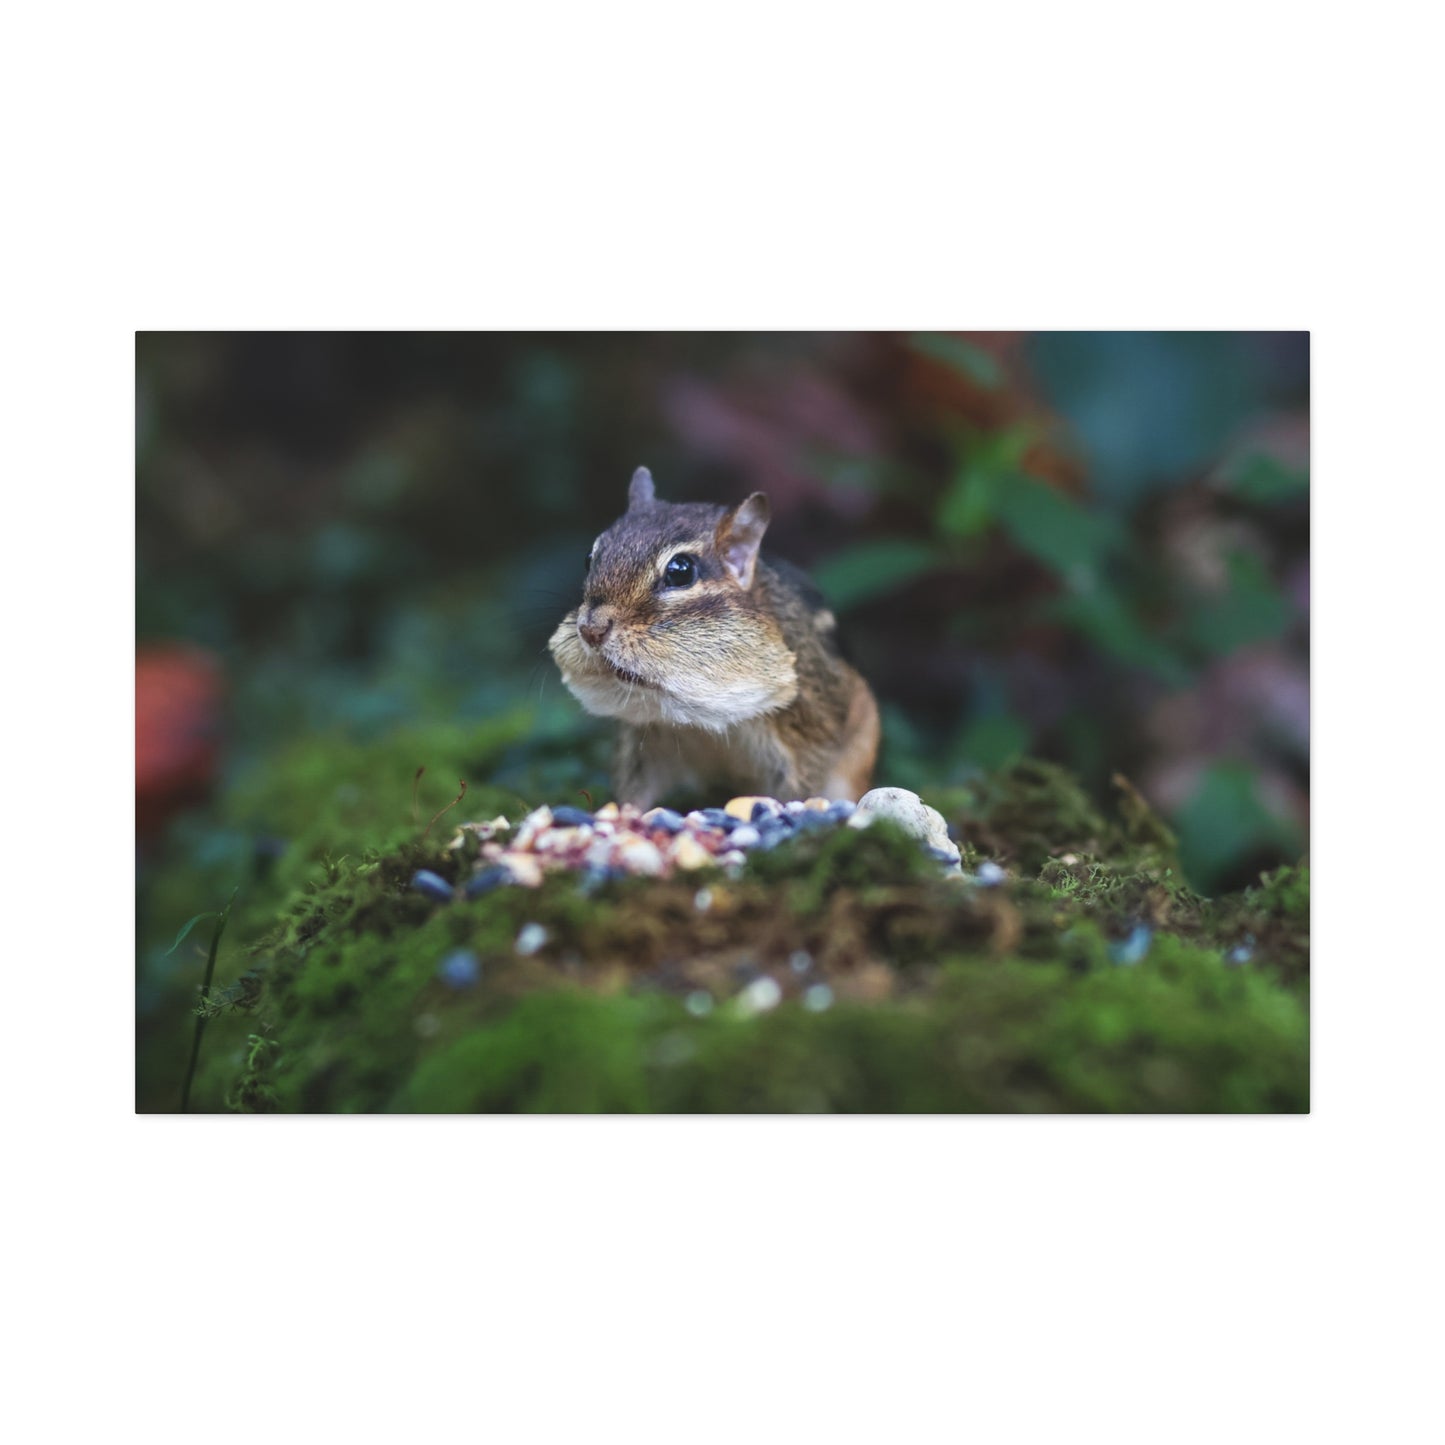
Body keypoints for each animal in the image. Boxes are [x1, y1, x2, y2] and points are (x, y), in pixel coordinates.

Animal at [548, 466, 881, 810]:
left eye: (680, 571)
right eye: (589, 558)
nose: (591, 630)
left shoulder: (807, 736)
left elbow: (802, 787)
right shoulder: (643, 742)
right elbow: (634, 791)